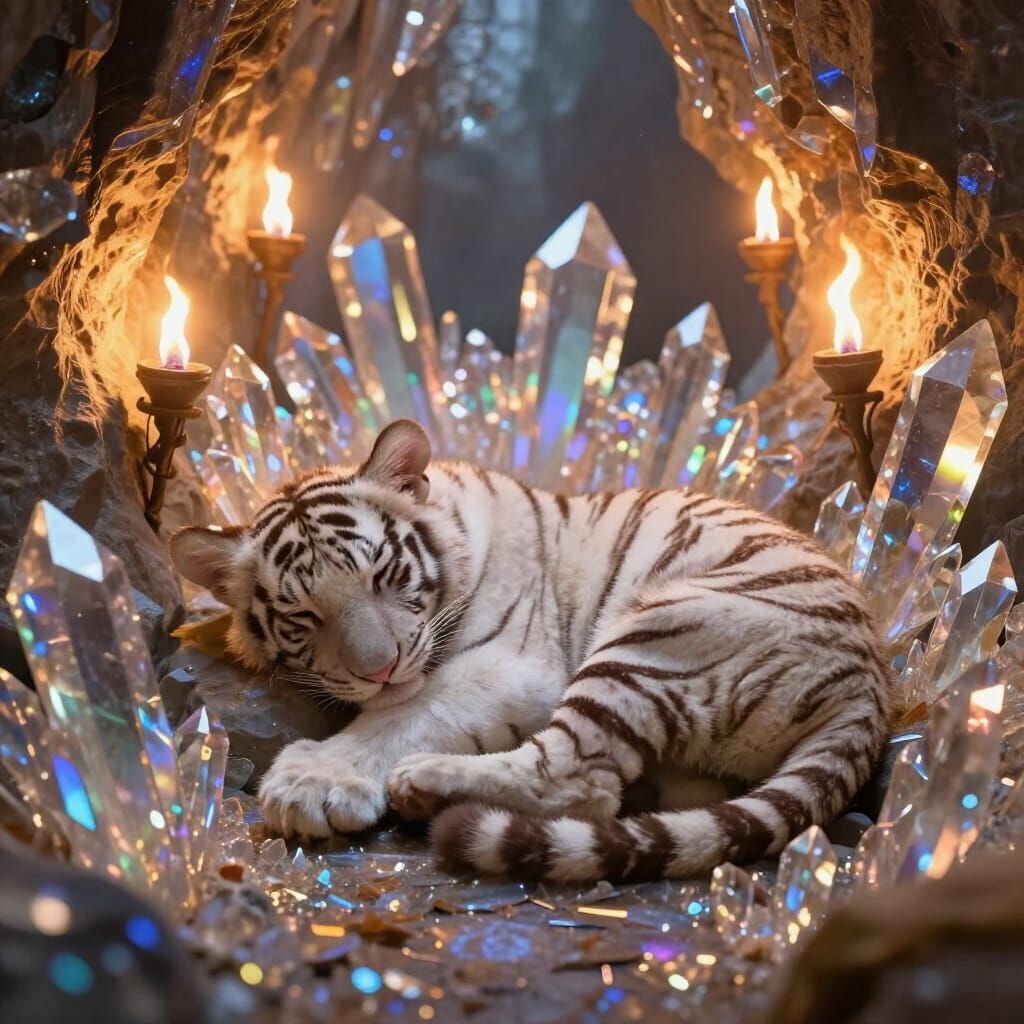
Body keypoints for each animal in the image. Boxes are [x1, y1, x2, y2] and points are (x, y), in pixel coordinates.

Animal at [169, 419, 893, 882]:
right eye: (303, 616)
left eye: (384, 576)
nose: (380, 668)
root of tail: (872, 688)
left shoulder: (511, 665)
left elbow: (406, 713)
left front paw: (314, 781)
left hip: (657, 632)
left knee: (581, 782)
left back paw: (427, 784)